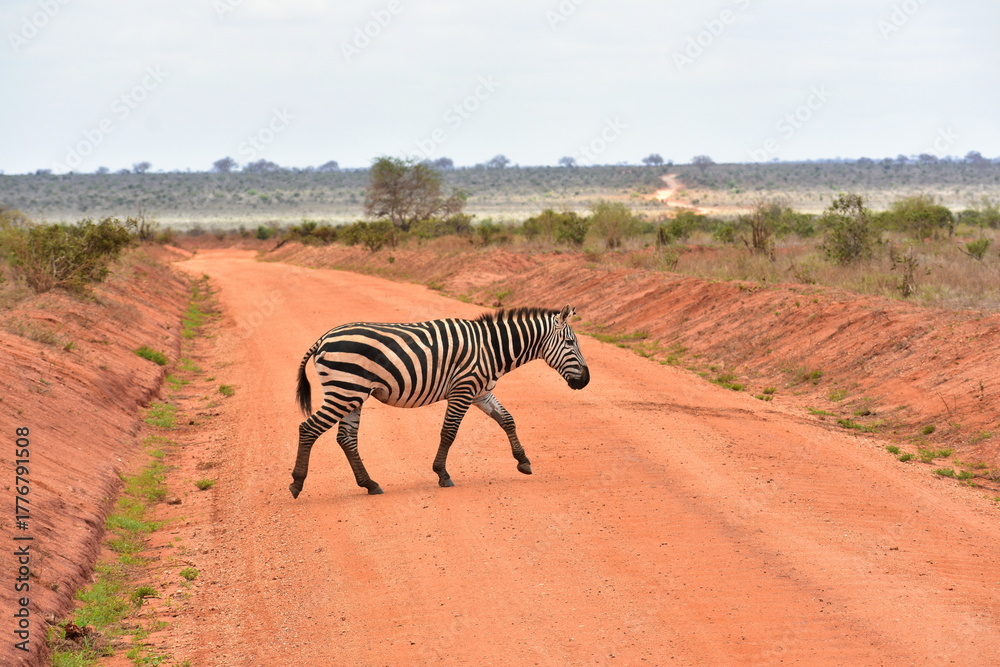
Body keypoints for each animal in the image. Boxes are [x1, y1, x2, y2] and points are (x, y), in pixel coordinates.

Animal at [289, 305, 590, 498]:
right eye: (570, 343)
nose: (585, 381)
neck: (491, 348)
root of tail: (324, 338)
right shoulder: (463, 389)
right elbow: (449, 432)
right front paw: (442, 474)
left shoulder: (481, 391)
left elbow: (507, 420)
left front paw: (523, 461)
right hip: (345, 390)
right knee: (309, 429)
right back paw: (297, 483)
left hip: (353, 393)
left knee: (346, 438)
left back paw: (370, 484)